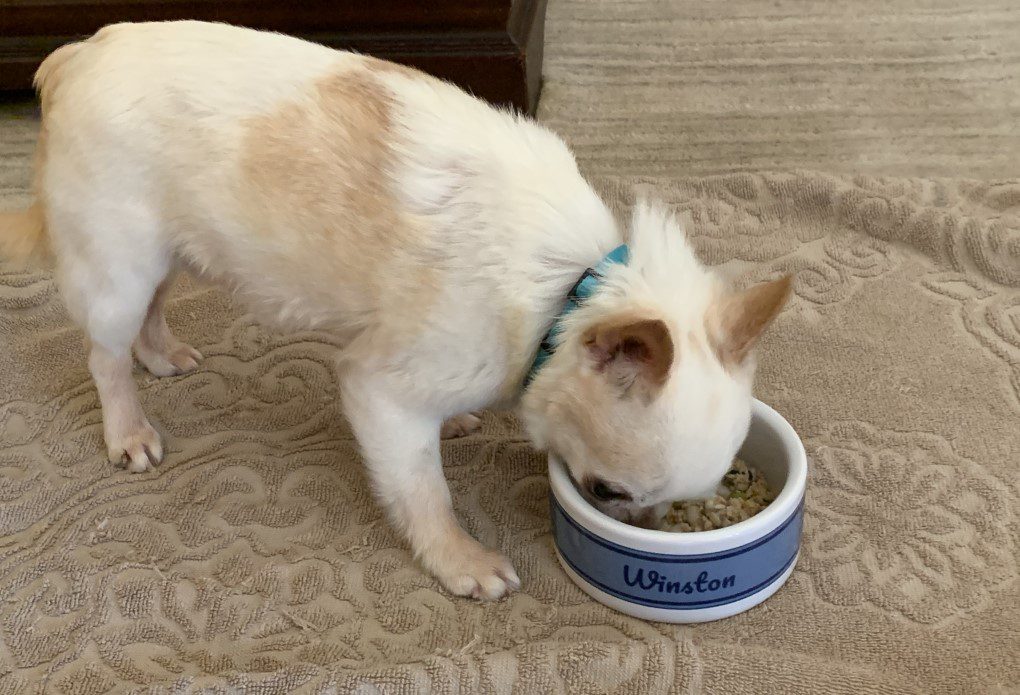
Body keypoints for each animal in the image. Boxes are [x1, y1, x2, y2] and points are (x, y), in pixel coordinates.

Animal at [0, 20, 787, 596]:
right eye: (605, 490)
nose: (654, 527)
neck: (569, 293)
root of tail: (74, 57)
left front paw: (462, 420)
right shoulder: (380, 393)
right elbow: (423, 490)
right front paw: (461, 561)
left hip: (172, 249)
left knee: (152, 311)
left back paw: (162, 352)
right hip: (117, 267)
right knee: (104, 354)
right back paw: (128, 428)